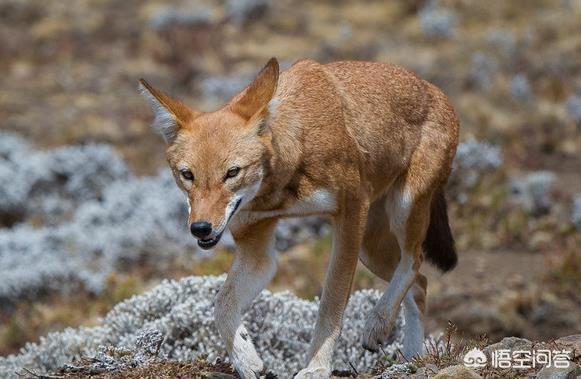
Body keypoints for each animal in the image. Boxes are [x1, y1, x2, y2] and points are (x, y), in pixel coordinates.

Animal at [139, 58, 458, 378]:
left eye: (232, 173)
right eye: (187, 175)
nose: (201, 228)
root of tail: (436, 90)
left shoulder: (350, 214)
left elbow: (331, 302)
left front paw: (317, 367)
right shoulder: (257, 249)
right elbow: (222, 306)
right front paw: (246, 359)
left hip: (399, 214)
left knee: (414, 261)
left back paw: (377, 325)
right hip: (371, 248)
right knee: (420, 283)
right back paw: (411, 356)